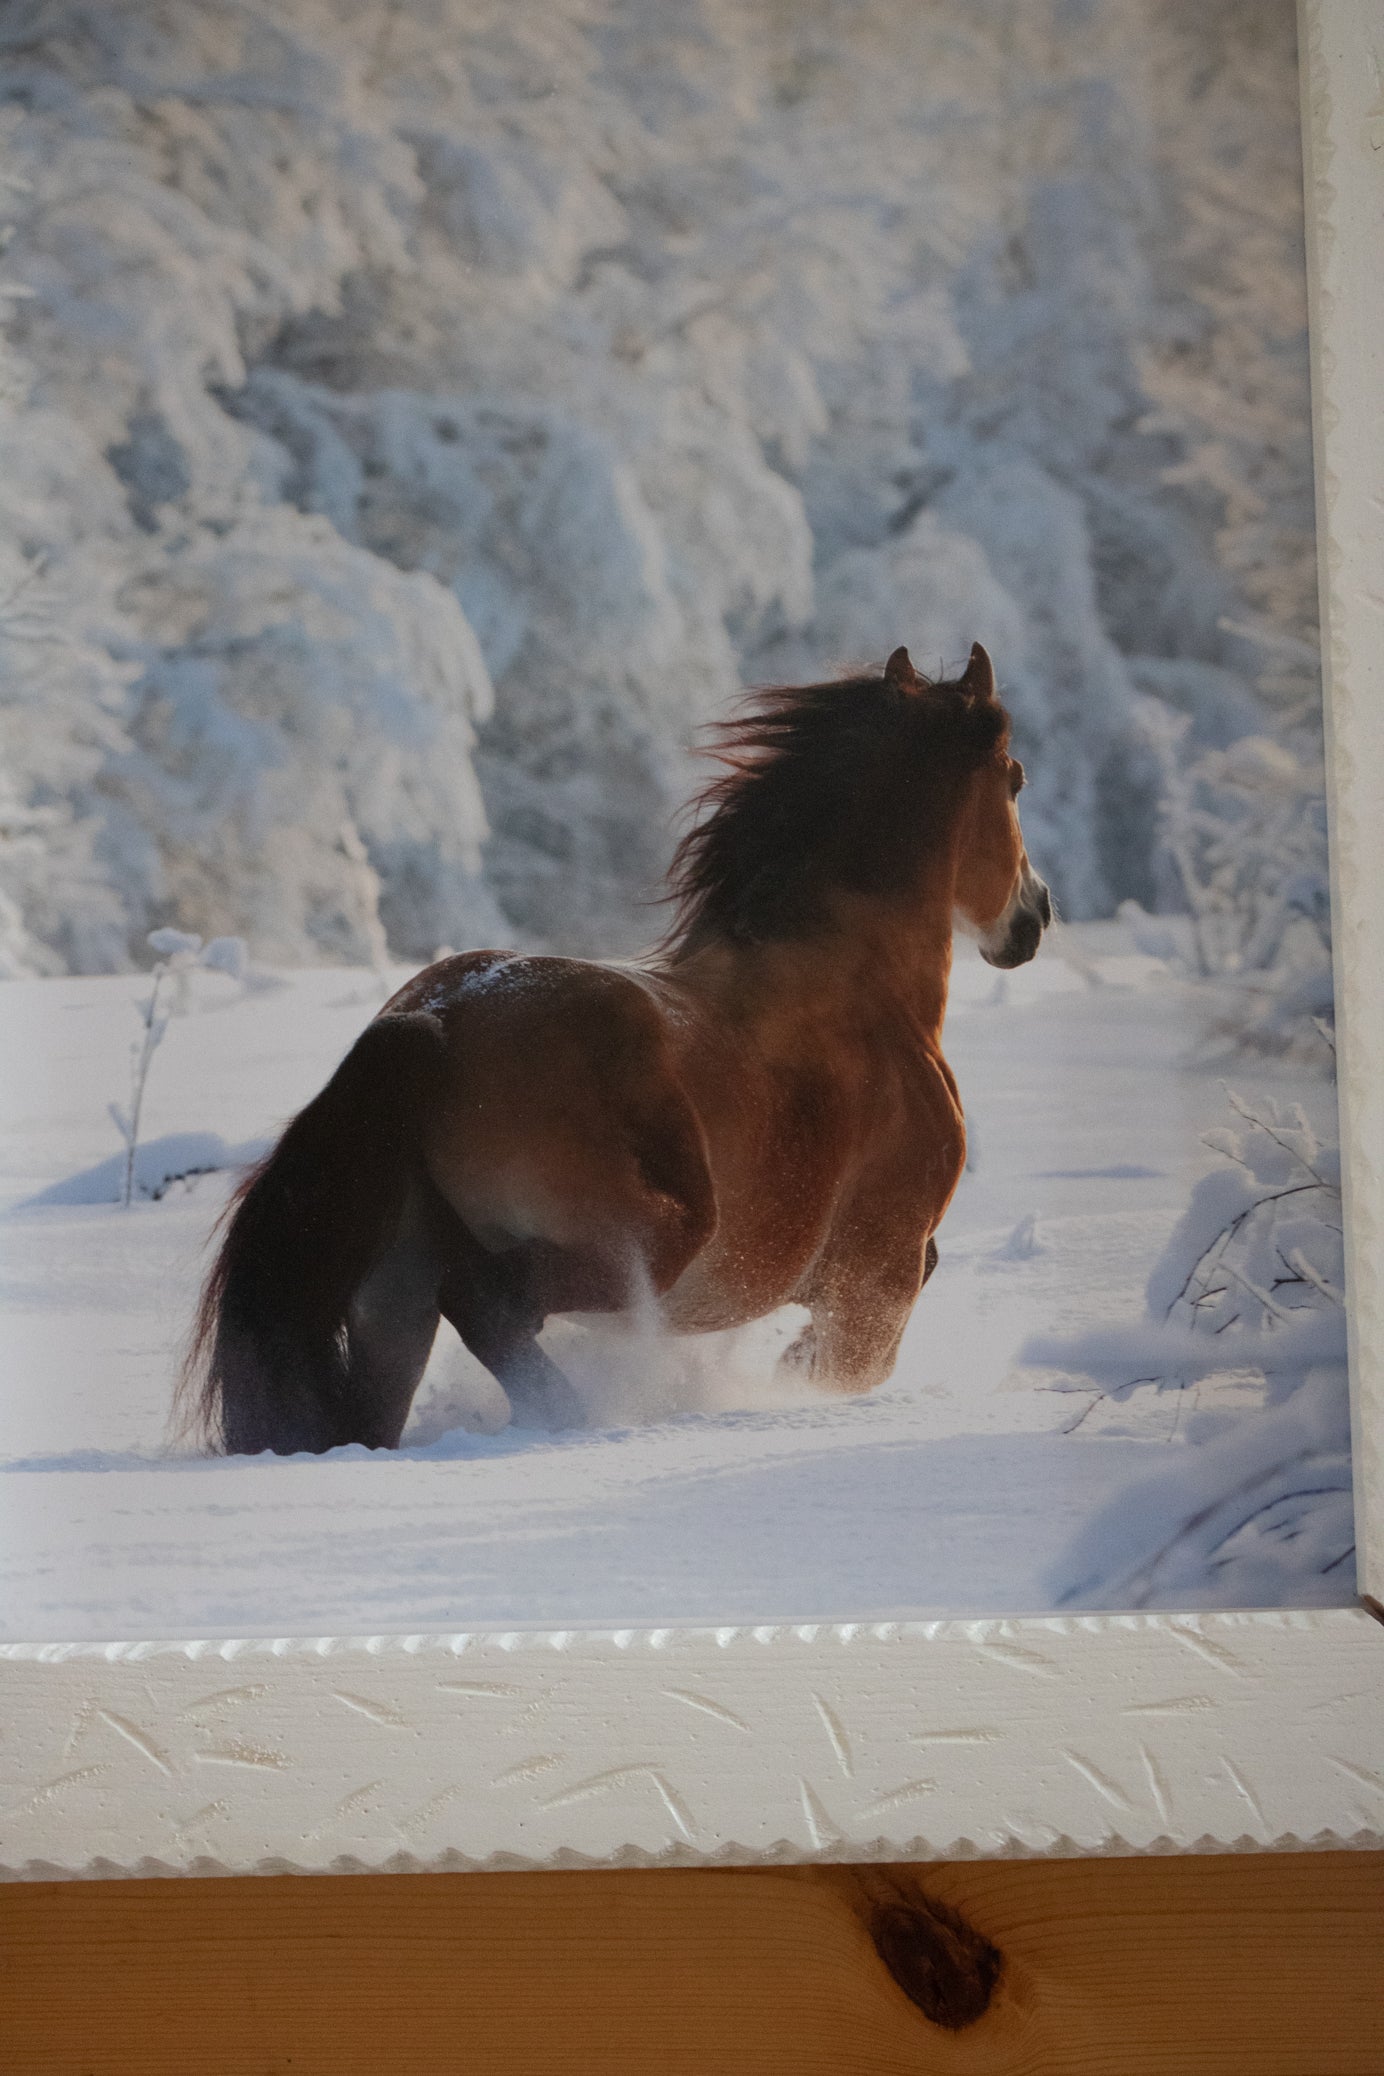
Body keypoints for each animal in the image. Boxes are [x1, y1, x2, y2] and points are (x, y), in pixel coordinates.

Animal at [184, 640, 1050, 1454]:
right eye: (1014, 779)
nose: (1035, 916)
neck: (862, 990)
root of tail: (430, 1026)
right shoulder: (879, 1277)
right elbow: (846, 1366)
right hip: (646, 1242)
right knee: (487, 1306)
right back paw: (578, 1420)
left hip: (392, 1300)